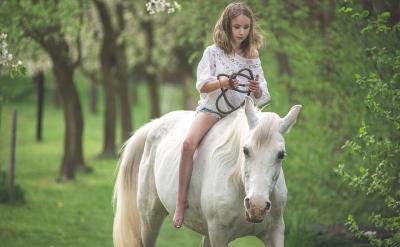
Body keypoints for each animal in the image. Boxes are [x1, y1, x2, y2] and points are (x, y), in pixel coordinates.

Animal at [111, 97, 300, 246]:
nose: (257, 206)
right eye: (246, 150)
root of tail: (156, 123)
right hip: (150, 220)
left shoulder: (275, 233)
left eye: (281, 155)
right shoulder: (219, 235)